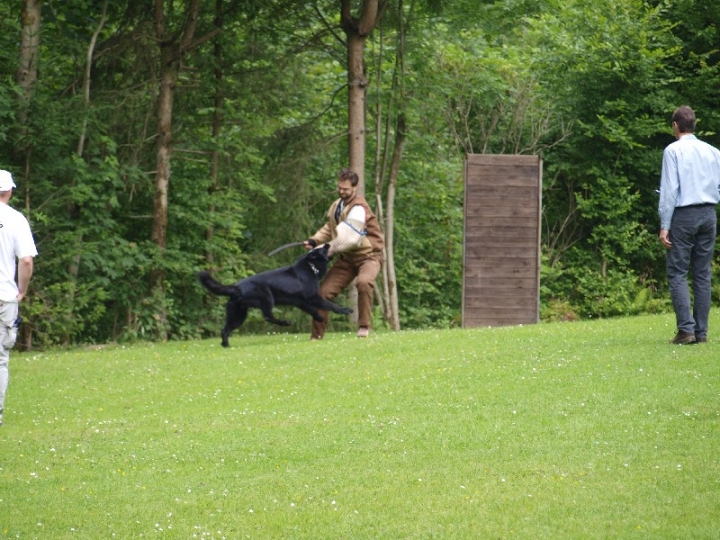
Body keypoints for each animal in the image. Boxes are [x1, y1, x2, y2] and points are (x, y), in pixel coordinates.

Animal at [198, 244, 352, 346]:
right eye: (322, 249)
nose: (328, 243)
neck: (310, 266)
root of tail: (236, 288)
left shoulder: (301, 302)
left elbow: (313, 311)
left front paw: (319, 317)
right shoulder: (313, 298)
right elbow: (330, 305)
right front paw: (346, 310)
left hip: (238, 315)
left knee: (225, 330)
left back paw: (226, 346)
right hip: (267, 297)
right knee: (268, 316)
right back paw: (285, 322)